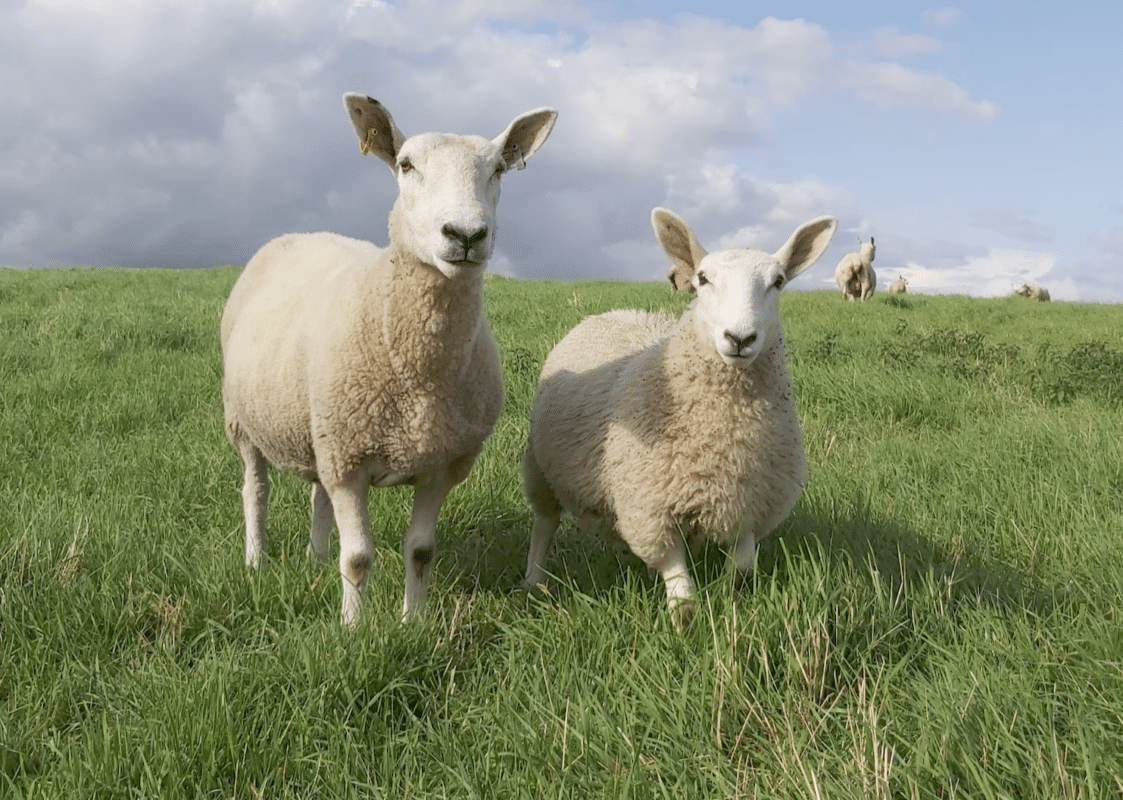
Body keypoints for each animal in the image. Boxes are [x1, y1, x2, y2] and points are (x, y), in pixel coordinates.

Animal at [221, 93, 557, 625]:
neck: (420, 374)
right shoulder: (350, 462)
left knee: (317, 494)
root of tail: (304, 234)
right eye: (406, 165)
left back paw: (316, 559)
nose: (466, 234)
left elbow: (420, 550)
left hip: (321, 429)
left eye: (499, 169)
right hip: (244, 418)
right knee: (255, 490)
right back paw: (256, 560)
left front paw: (412, 621)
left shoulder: (438, 464)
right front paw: (353, 628)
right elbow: (358, 557)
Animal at [522, 208, 837, 628]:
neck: (727, 439)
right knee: (545, 522)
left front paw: (727, 602)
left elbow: (741, 571)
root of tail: (615, 312)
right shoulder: (650, 509)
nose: (740, 338)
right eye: (702, 278)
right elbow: (681, 589)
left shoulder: (750, 507)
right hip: (540, 467)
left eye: (778, 282)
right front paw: (684, 625)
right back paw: (534, 579)